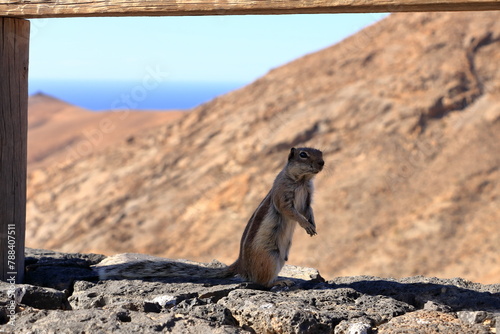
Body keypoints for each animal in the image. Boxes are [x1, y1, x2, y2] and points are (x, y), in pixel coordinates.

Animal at [97, 147, 324, 288]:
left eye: (321, 152)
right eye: (303, 154)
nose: (322, 163)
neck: (302, 181)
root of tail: (241, 264)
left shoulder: (308, 198)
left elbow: (309, 210)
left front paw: (313, 225)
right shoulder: (282, 194)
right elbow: (290, 212)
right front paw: (305, 225)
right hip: (270, 258)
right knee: (261, 282)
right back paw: (279, 282)